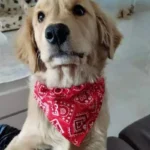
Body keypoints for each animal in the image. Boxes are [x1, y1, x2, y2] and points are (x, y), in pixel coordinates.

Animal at [4, 0, 122, 150]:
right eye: (40, 16)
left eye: (79, 10)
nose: (56, 32)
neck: (66, 89)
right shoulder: (24, 139)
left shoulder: (97, 141)